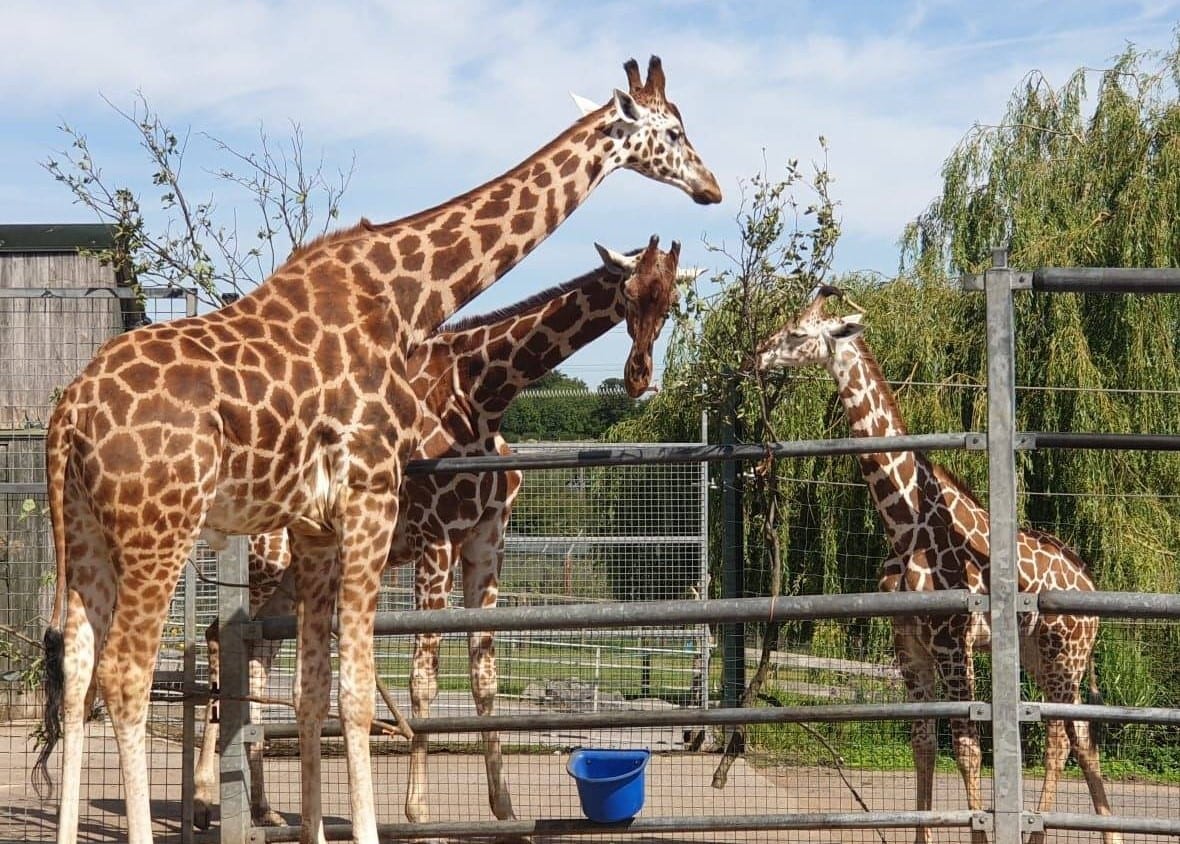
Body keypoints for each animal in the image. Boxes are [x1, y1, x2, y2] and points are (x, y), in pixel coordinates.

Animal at [191, 234, 689, 831]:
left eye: (671, 303)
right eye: (628, 291)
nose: (638, 375)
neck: (484, 396)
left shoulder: (485, 543)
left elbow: (484, 676)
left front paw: (503, 806)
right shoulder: (437, 539)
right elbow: (423, 680)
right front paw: (417, 810)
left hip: (291, 575)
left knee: (258, 659)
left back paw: (264, 809)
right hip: (266, 560)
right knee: (218, 640)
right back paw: (203, 798)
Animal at [750, 285, 1118, 844]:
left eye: (797, 332)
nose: (757, 353)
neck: (904, 526)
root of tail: (1090, 582)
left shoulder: (952, 640)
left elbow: (966, 750)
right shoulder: (910, 645)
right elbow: (923, 746)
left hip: (1064, 654)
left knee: (1063, 740)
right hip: (1042, 656)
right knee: (1080, 736)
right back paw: (1105, 830)